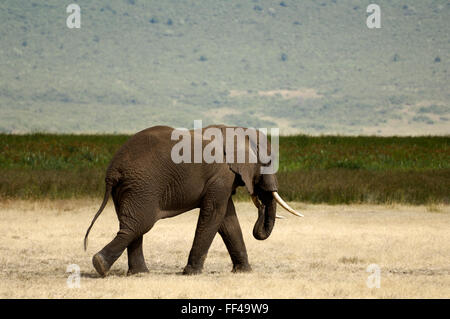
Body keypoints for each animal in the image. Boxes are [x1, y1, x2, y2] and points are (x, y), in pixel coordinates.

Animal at [84, 125, 302, 278]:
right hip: (143, 186)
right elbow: (214, 214)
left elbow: (227, 220)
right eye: (269, 162)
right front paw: (191, 273)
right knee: (139, 224)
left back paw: (138, 273)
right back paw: (100, 265)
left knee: (132, 225)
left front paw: (244, 271)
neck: (236, 131)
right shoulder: (221, 175)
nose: (261, 204)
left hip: (129, 189)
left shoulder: (221, 179)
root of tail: (113, 170)